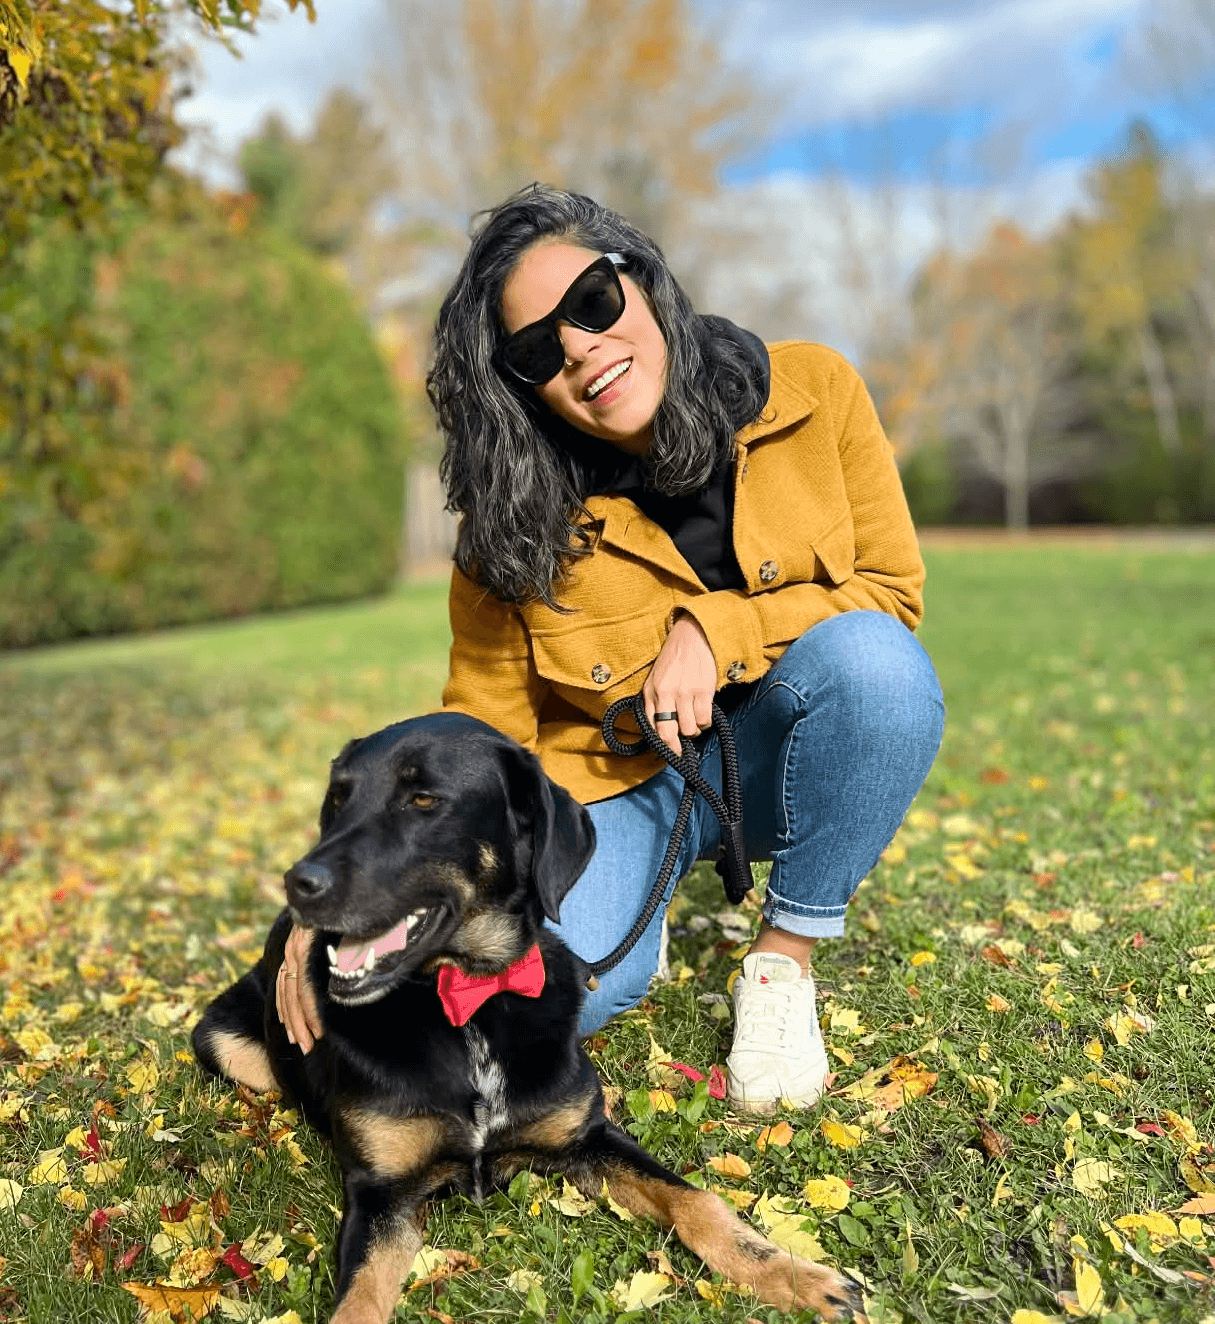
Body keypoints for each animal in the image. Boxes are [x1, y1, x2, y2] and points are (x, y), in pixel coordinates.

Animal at [192, 712, 859, 1323]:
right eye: (339, 798)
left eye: (423, 799)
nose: (296, 884)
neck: (468, 1000)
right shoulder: (380, 1196)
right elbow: (358, 1303)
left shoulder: (588, 1137)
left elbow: (698, 1202)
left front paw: (797, 1277)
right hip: (224, 1042)